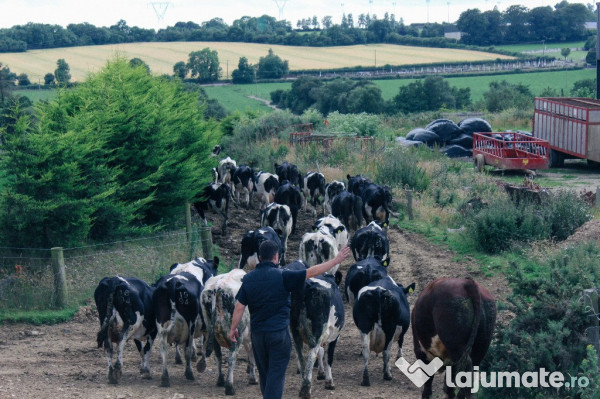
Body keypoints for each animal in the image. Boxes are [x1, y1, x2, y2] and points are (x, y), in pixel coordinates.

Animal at [154, 256, 219, 388]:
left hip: (161, 322)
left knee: (163, 348)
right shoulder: (204, 323)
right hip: (190, 323)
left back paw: (165, 378)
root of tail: (173, 282)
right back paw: (189, 373)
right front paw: (201, 363)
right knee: (187, 349)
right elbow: (203, 343)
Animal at [202, 268, 258, 396]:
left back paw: (220, 380)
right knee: (232, 358)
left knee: (218, 355)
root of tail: (218, 286)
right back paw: (229, 387)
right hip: (237, 335)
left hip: (213, 332)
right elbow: (252, 353)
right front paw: (252, 378)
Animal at [288, 260, 344, 398]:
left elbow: (321, 352)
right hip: (317, 332)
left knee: (300, 355)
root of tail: (307, 286)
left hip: (296, 331)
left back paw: (303, 384)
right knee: (311, 355)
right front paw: (329, 382)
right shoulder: (335, 335)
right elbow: (329, 358)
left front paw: (321, 373)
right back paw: (306, 389)